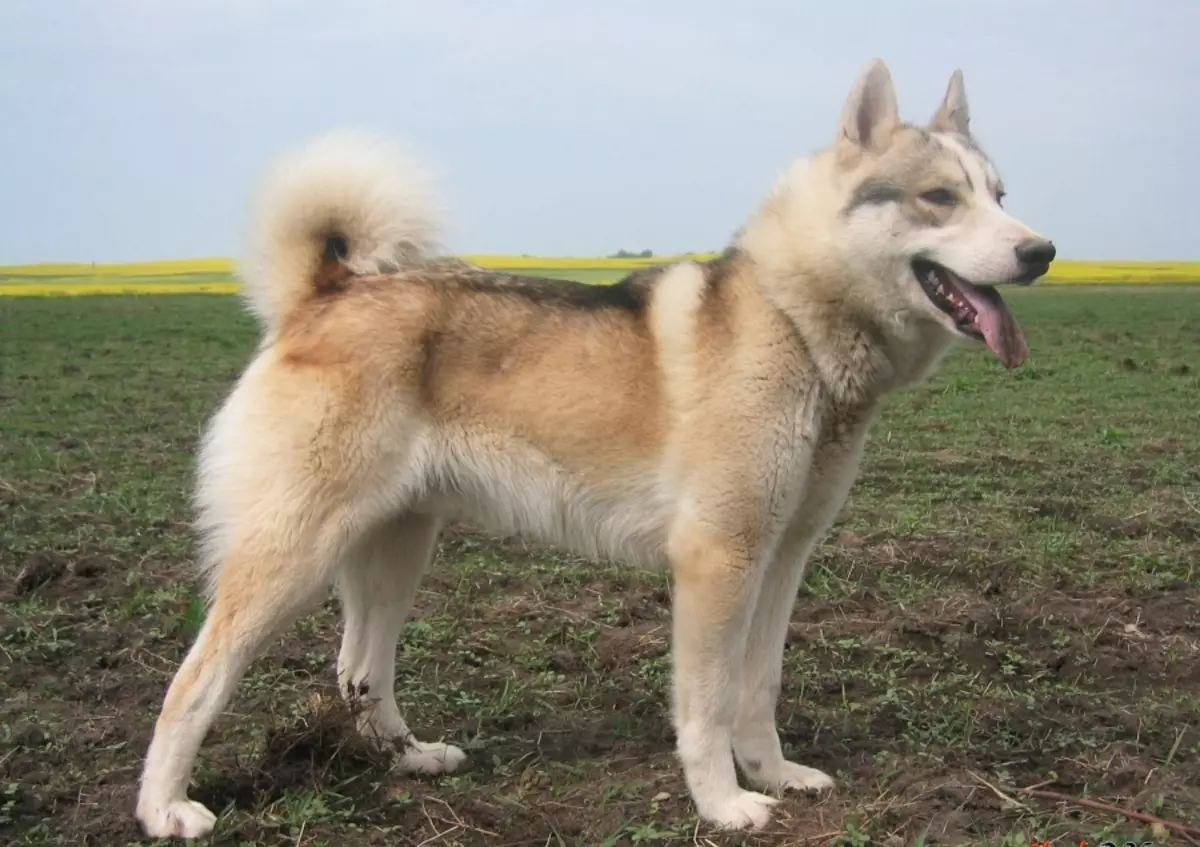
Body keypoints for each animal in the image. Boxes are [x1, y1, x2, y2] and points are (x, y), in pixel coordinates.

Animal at [133, 57, 1051, 830]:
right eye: (939, 197)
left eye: (1002, 193)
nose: (1041, 249)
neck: (796, 321)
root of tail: (327, 290)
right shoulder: (718, 560)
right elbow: (708, 702)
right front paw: (724, 802)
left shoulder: (782, 557)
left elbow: (758, 687)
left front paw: (775, 773)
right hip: (292, 554)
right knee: (195, 679)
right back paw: (163, 807)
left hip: (394, 550)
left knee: (361, 669)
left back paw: (410, 760)